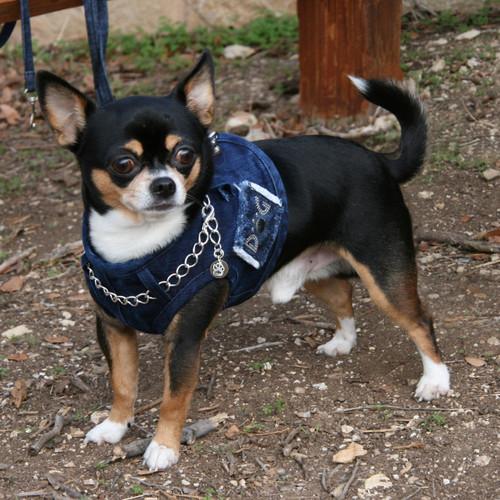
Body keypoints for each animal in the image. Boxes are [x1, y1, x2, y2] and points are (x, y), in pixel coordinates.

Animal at [35, 48, 450, 470]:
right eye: (123, 164)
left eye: (185, 155)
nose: (165, 185)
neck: (139, 245)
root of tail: (381, 160)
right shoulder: (113, 327)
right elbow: (121, 383)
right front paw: (116, 426)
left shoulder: (184, 338)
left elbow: (174, 397)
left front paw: (163, 446)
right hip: (312, 270)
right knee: (342, 296)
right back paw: (343, 342)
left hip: (383, 276)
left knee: (420, 321)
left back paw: (435, 380)